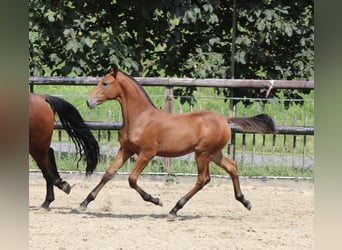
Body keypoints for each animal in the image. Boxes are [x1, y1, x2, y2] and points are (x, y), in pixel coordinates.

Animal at [79, 65, 276, 219]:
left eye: (105, 83)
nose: (89, 101)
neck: (141, 118)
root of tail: (224, 120)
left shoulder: (147, 153)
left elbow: (132, 179)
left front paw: (156, 200)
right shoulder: (126, 149)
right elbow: (108, 174)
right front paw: (84, 202)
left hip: (202, 154)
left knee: (203, 179)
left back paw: (175, 209)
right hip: (214, 154)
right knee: (232, 166)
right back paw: (244, 201)